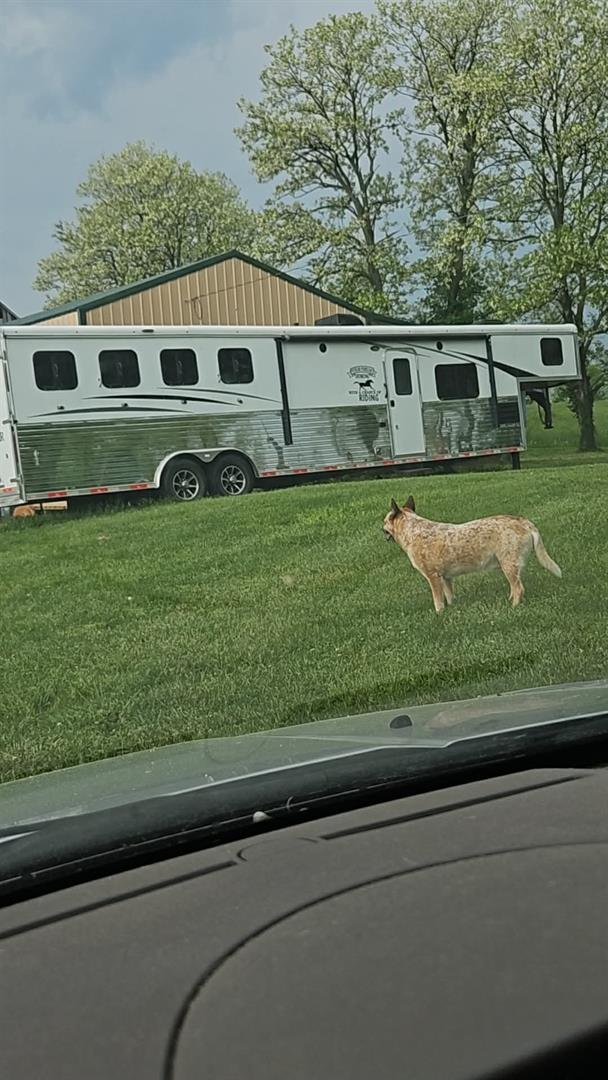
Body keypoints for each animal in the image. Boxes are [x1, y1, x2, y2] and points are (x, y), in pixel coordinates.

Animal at [383, 496, 561, 612]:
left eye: (385, 521)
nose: (380, 529)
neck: (413, 531)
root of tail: (525, 522)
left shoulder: (433, 576)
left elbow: (438, 601)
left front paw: (440, 615)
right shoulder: (446, 577)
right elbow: (449, 596)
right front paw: (452, 608)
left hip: (508, 565)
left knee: (519, 589)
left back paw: (513, 608)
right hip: (511, 566)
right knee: (515, 586)